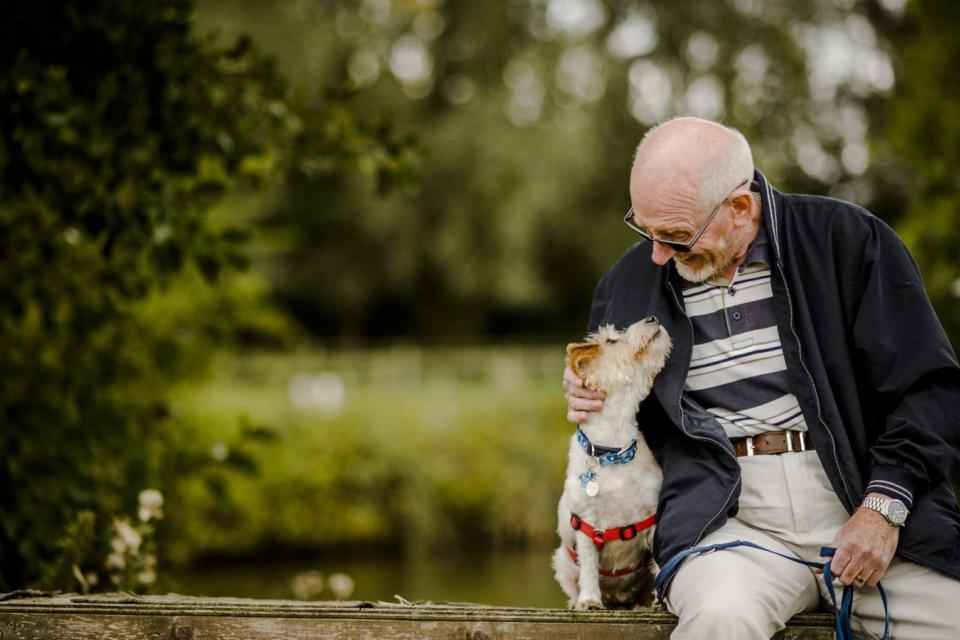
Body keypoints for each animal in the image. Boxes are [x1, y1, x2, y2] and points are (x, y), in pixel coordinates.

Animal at [552, 316, 672, 608]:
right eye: (611, 340)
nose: (652, 317)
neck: (614, 452)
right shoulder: (586, 523)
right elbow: (588, 567)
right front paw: (589, 600)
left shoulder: (652, 516)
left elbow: (658, 559)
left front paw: (659, 600)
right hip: (560, 561)